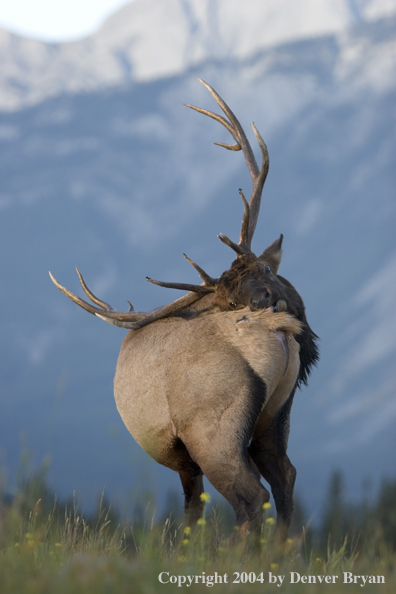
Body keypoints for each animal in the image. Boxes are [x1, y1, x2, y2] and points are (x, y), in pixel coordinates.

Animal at [50, 81, 318, 544]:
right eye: (228, 299)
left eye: (266, 268)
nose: (264, 302)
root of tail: (275, 329)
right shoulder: (187, 459)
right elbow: (195, 511)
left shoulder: (180, 452)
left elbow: (192, 512)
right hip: (273, 419)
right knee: (285, 477)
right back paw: (283, 553)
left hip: (213, 431)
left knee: (251, 495)